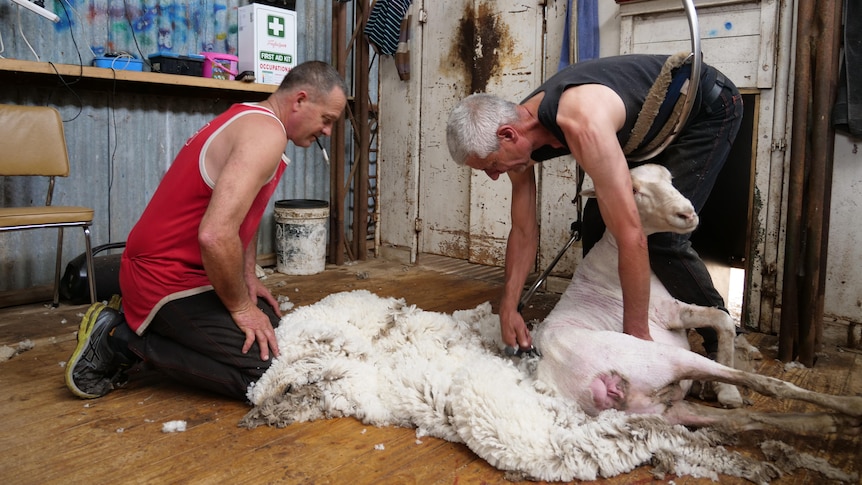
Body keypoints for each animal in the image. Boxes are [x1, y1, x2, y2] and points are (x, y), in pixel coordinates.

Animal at [536, 163, 860, 432]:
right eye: (633, 190)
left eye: (670, 179)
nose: (687, 213)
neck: (614, 253)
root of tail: (599, 387)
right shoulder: (669, 312)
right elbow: (722, 319)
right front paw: (726, 392)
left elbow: (722, 321)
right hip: (666, 359)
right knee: (770, 384)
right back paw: (848, 408)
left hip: (665, 410)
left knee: (742, 420)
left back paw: (832, 423)